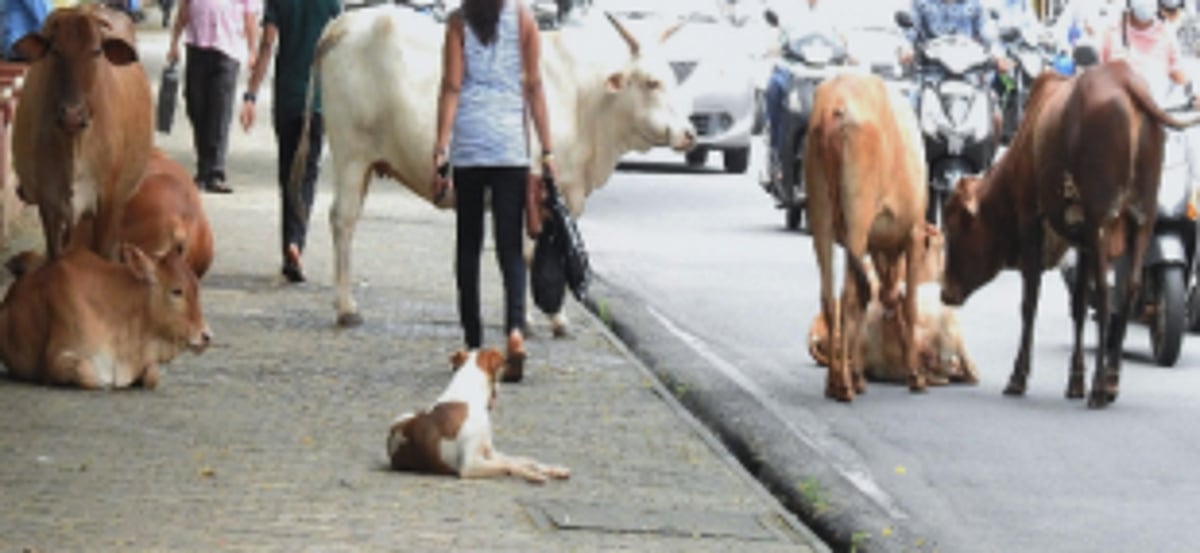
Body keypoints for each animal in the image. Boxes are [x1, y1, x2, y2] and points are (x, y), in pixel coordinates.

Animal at [0, 244, 211, 390]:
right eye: (177, 291)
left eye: (196, 287)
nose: (207, 336)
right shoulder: (55, 360)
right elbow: (88, 374)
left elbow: (152, 376)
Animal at [11, 5, 153, 260]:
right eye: (55, 51)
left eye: (96, 51)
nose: (72, 114)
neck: (74, 142)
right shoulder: (48, 203)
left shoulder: (107, 200)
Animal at [292, 6, 695, 327]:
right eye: (651, 83)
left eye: (673, 79)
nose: (689, 134)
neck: (587, 102)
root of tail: (346, 21)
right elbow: (529, 253)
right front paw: (540, 319)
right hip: (350, 154)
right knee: (342, 219)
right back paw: (346, 308)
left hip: (365, 162)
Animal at [804, 73, 928, 402]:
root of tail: (835, 104)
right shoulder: (913, 234)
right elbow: (909, 305)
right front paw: (915, 376)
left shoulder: (871, 244)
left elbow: (870, 296)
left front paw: (858, 374)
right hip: (857, 219)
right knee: (848, 295)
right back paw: (843, 385)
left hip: (820, 217)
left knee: (831, 297)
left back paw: (837, 381)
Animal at [941, 61, 1200, 408]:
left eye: (954, 230)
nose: (945, 293)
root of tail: (1124, 78)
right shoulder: (1083, 240)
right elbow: (1077, 307)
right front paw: (1075, 381)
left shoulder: (1032, 221)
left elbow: (1030, 301)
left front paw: (1018, 378)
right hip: (1141, 221)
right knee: (1128, 289)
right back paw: (1111, 381)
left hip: (1103, 220)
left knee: (1105, 294)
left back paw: (1099, 388)